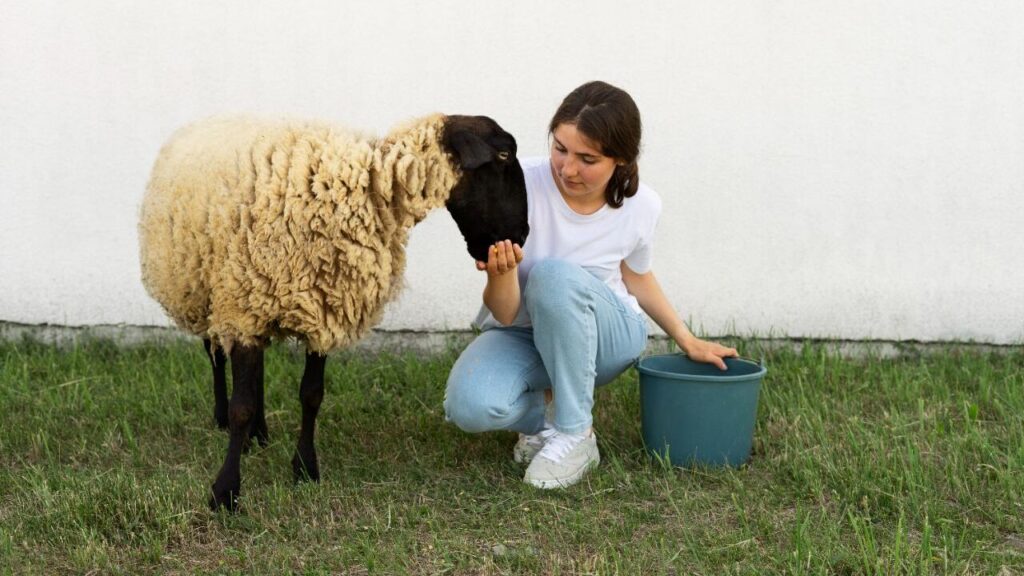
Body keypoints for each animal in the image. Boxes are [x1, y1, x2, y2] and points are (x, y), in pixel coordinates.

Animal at [139, 113, 529, 510]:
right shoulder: (243, 307)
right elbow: (240, 407)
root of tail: (205, 121)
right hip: (200, 288)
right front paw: (225, 491)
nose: (522, 234)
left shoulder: (322, 308)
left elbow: (311, 395)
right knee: (215, 354)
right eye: (502, 155)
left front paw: (305, 468)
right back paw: (225, 419)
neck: (369, 189)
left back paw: (259, 434)